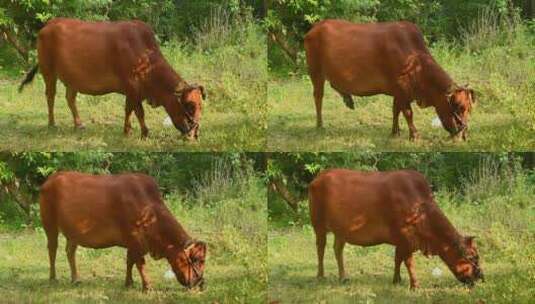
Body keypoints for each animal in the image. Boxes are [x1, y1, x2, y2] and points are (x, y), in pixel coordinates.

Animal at [18, 17, 205, 139]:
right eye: (189, 105)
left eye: (200, 105)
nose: (194, 131)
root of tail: (48, 24)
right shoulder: (132, 87)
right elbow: (138, 111)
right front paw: (141, 132)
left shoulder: (133, 91)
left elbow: (130, 110)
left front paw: (130, 130)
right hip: (48, 71)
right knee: (50, 96)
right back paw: (52, 123)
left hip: (72, 79)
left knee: (70, 99)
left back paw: (79, 124)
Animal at [39, 170, 207, 290]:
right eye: (197, 259)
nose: (200, 282)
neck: (149, 210)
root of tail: (51, 178)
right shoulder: (134, 239)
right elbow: (140, 263)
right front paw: (147, 286)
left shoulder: (133, 243)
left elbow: (129, 261)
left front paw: (129, 283)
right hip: (49, 225)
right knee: (52, 249)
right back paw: (53, 278)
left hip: (73, 233)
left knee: (70, 251)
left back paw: (76, 279)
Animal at [306, 19, 478, 141]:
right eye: (460, 107)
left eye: (470, 108)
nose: (464, 133)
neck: (415, 61)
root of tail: (314, 28)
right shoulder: (401, 90)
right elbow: (408, 113)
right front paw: (414, 135)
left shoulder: (398, 92)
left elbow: (396, 110)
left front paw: (395, 132)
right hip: (315, 72)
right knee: (318, 97)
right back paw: (320, 124)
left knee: (334, 85)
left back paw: (348, 99)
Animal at [308, 170, 484, 288]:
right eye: (473, 257)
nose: (480, 277)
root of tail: (319, 177)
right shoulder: (405, 238)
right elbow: (408, 262)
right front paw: (415, 285)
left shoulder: (402, 241)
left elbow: (397, 259)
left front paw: (397, 280)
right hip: (318, 225)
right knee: (320, 249)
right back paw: (320, 275)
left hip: (341, 231)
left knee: (337, 249)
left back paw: (343, 277)